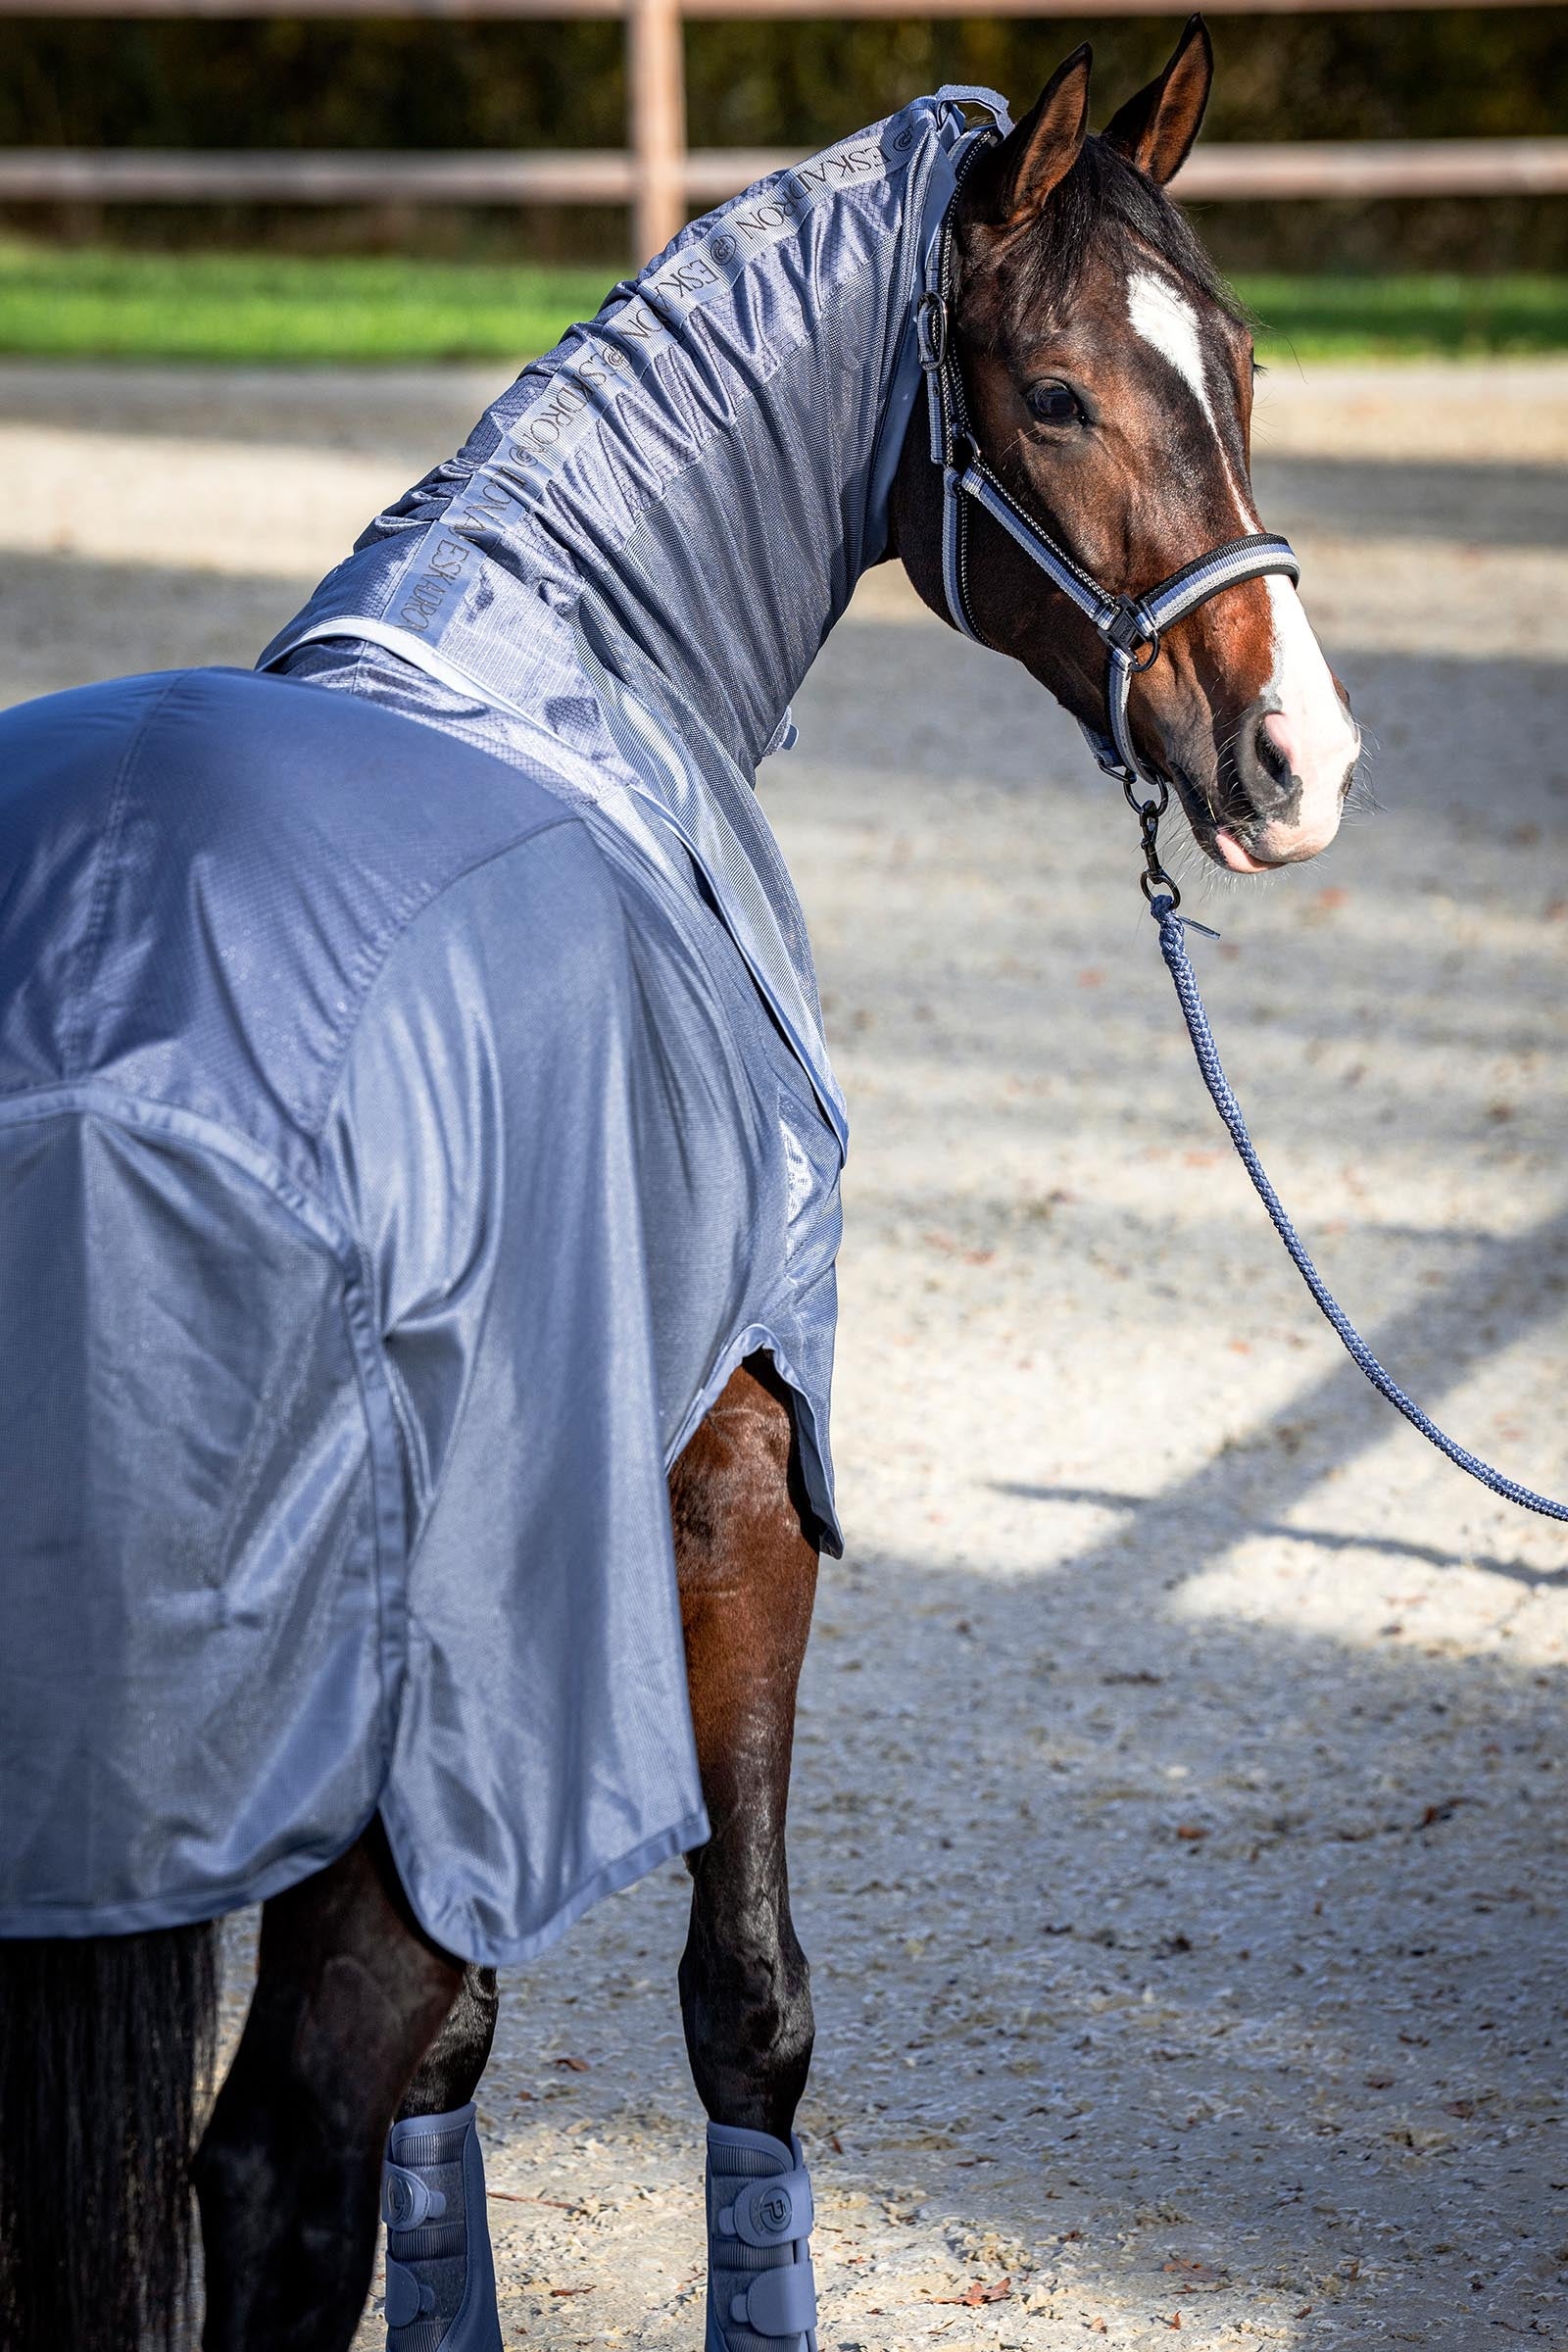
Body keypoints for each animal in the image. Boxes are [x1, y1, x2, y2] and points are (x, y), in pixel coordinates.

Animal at [0, 20, 1360, 2351]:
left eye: (1246, 359)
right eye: (1056, 393)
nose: (1301, 759)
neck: (575, 669)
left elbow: (473, 2067)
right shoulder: (729, 1472)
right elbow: (749, 2012)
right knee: (279, 2167)